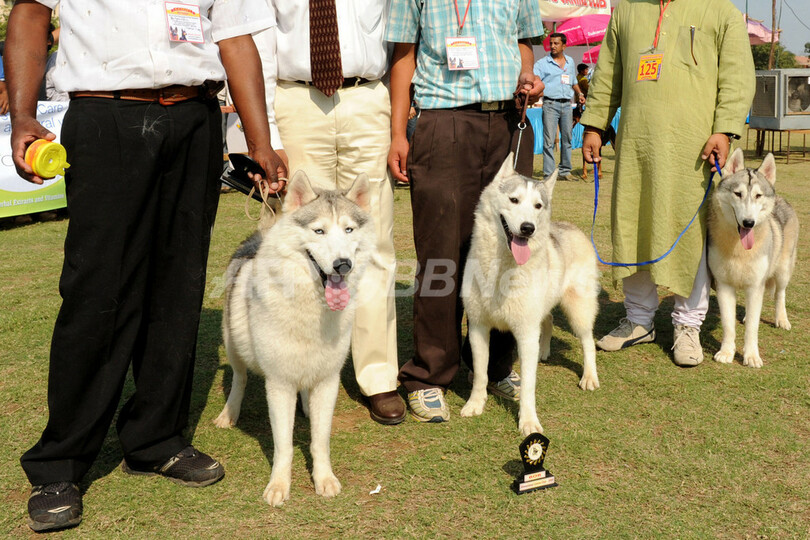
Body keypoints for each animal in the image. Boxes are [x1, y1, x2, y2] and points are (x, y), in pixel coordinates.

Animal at [213, 171, 376, 506]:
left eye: (349, 229)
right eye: (319, 230)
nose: (343, 264)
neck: (311, 308)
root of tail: (261, 236)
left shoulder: (328, 381)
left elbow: (320, 440)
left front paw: (324, 479)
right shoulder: (278, 385)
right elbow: (284, 445)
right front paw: (278, 485)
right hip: (234, 345)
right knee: (239, 378)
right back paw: (229, 413)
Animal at [460, 155, 600, 436]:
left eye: (538, 206)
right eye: (514, 200)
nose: (528, 228)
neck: (501, 268)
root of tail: (572, 228)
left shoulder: (525, 333)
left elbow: (527, 385)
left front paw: (528, 421)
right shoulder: (479, 327)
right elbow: (480, 373)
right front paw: (475, 403)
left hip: (578, 309)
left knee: (587, 341)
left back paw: (589, 376)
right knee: (548, 321)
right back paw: (544, 350)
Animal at [708, 148, 799, 368]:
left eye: (758, 195)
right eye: (738, 194)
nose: (748, 223)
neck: (739, 249)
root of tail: (781, 199)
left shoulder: (756, 285)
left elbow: (752, 328)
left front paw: (751, 356)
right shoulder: (724, 285)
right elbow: (728, 324)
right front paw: (726, 352)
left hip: (783, 271)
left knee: (779, 294)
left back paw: (782, 319)